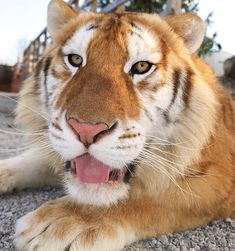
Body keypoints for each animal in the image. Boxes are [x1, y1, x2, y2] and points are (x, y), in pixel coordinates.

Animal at [0, 0, 234, 250]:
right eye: (75, 60)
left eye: (141, 67)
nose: (86, 130)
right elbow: (34, 159)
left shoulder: (218, 178)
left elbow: (152, 196)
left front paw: (62, 222)